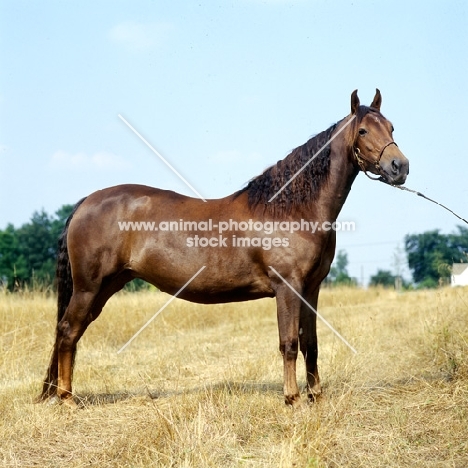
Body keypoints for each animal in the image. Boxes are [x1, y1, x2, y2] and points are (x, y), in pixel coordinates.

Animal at [41, 89, 410, 408]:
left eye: (392, 127)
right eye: (363, 130)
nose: (400, 166)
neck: (292, 209)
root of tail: (86, 202)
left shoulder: (311, 289)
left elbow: (311, 344)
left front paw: (315, 396)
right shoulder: (288, 288)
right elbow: (289, 343)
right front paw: (292, 398)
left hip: (103, 288)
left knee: (70, 333)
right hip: (89, 288)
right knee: (67, 332)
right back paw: (67, 399)